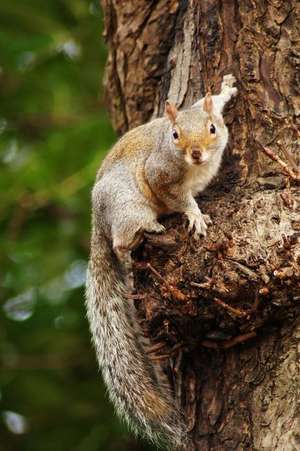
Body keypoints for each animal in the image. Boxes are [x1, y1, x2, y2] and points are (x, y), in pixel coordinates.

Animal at [85, 73, 238, 448]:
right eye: (175, 135)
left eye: (213, 128)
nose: (196, 154)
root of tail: (98, 219)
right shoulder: (160, 174)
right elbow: (178, 198)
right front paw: (195, 215)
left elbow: (209, 101)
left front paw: (225, 90)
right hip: (129, 206)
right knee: (121, 241)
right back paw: (145, 231)